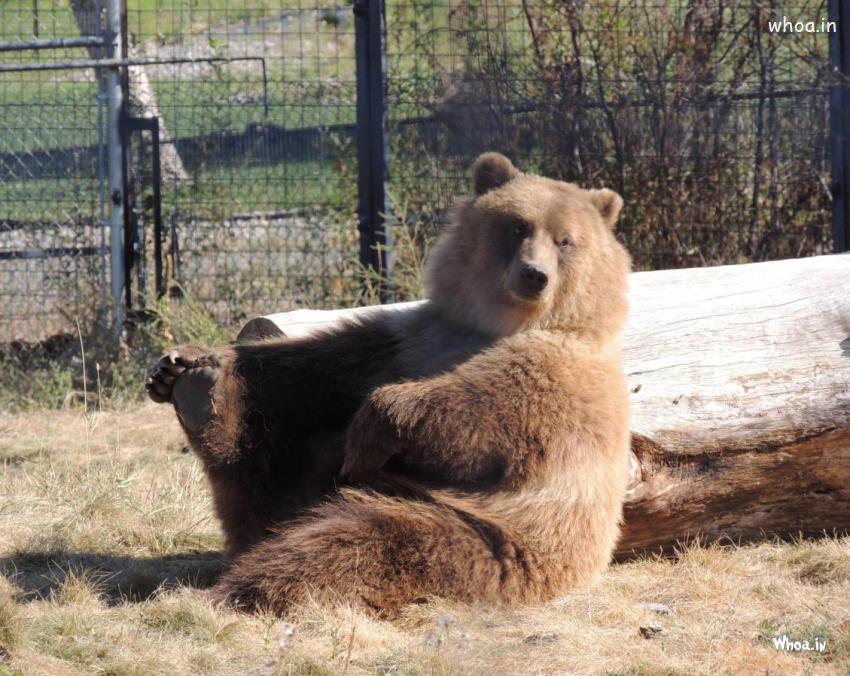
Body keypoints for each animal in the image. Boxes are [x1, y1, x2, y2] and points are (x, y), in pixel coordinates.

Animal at [146, 152, 632, 613]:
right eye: (517, 227)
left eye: (566, 241)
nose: (535, 274)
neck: (499, 323)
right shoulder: (411, 340)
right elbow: (308, 366)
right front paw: (184, 361)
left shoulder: (566, 376)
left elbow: (488, 411)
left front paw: (368, 431)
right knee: (267, 464)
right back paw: (200, 395)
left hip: (493, 540)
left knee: (359, 540)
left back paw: (240, 588)